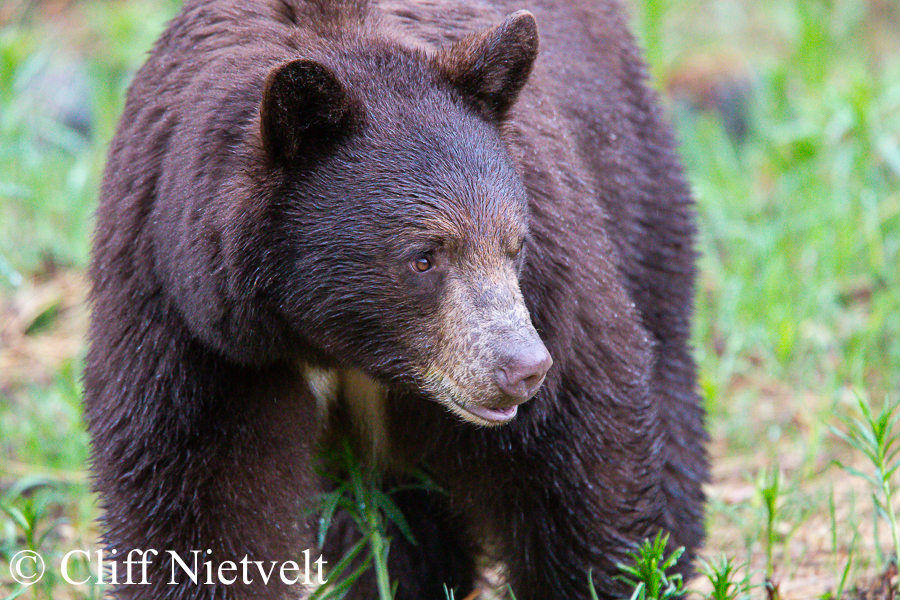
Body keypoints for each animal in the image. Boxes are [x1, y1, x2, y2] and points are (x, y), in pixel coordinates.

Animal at [84, 0, 708, 596]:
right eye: (423, 257)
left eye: (515, 244)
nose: (522, 368)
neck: (330, 342)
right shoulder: (190, 314)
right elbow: (195, 492)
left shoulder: (552, 272)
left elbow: (577, 452)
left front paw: (624, 572)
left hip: (633, 180)